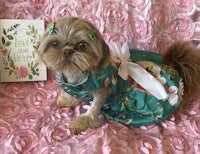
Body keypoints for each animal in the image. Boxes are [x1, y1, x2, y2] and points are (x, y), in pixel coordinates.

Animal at [38, 16, 200, 135]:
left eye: (81, 45)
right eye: (54, 44)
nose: (67, 51)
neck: (78, 75)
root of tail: (173, 69)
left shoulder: (103, 90)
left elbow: (94, 108)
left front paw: (81, 122)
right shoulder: (79, 88)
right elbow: (75, 95)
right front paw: (69, 99)